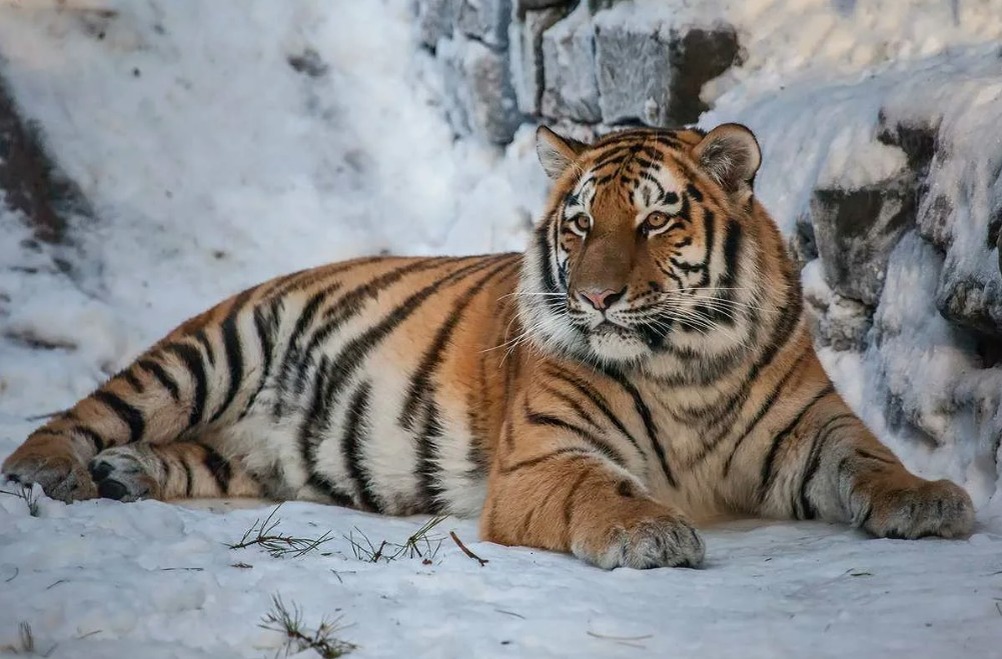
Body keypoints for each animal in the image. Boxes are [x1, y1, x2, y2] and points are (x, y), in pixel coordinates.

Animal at [2, 123, 974, 569]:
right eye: (580, 224)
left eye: (655, 220)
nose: (596, 296)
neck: (684, 362)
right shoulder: (544, 457)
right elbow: (602, 490)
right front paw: (651, 530)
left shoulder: (813, 428)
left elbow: (871, 461)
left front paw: (929, 500)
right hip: (209, 349)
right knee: (83, 412)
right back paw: (53, 471)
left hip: (251, 451)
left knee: (199, 457)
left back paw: (129, 472)